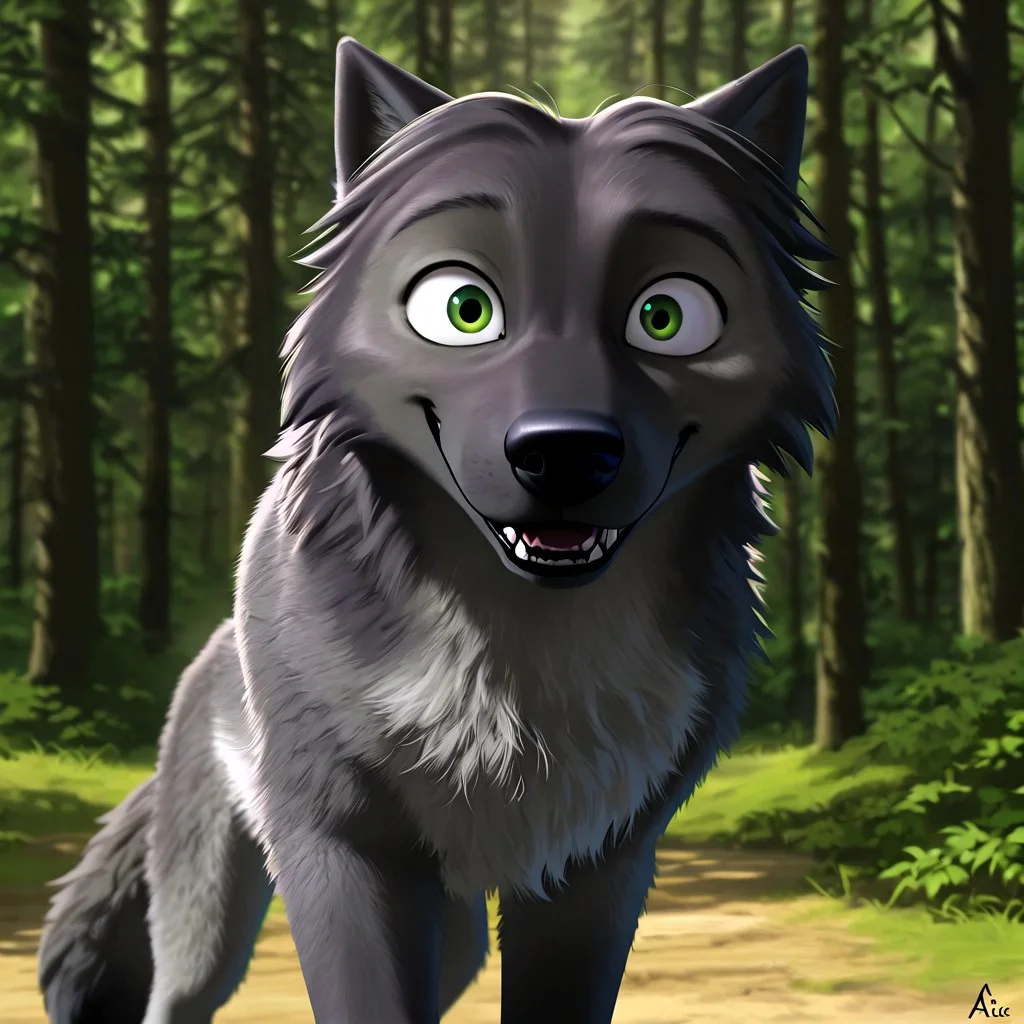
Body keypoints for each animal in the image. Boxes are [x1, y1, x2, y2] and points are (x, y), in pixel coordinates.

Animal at [37, 36, 835, 1024]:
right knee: (173, 997)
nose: (565, 453)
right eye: (463, 308)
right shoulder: (345, 850)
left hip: (453, 939)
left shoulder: (599, 867)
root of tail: (203, 661)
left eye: (666, 315)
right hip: (210, 924)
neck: (529, 655)